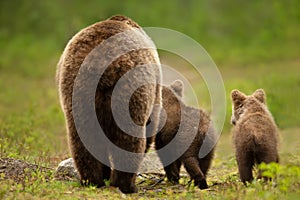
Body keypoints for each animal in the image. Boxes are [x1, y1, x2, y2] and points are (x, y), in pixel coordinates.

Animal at [57, 14, 163, 193]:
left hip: (78, 91)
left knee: (83, 137)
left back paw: (92, 180)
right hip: (130, 89)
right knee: (129, 138)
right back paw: (126, 184)